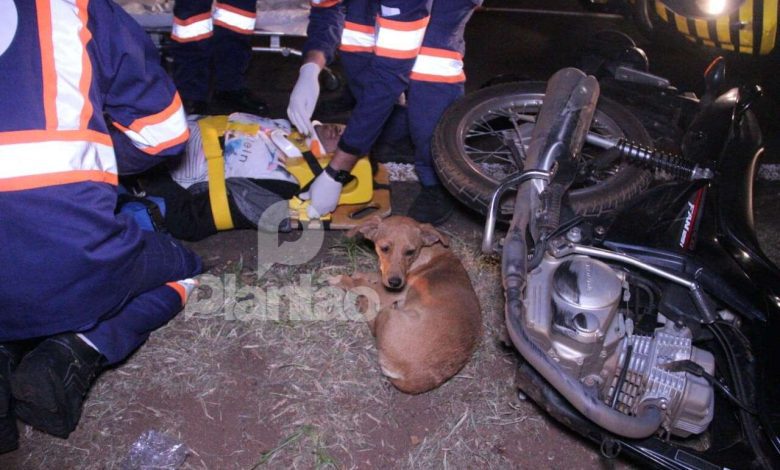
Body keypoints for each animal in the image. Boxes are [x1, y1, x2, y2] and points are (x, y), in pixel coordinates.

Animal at [336, 216, 482, 392]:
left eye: (410, 252)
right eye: (384, 248)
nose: (395, 282)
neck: (424, 253)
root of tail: (411, 380)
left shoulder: (385, 293)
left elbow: (360, 284)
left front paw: (341, 279)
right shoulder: (384, 279)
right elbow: (371, 276)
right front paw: (360, 274)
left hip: (388, 314)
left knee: (373, 321)